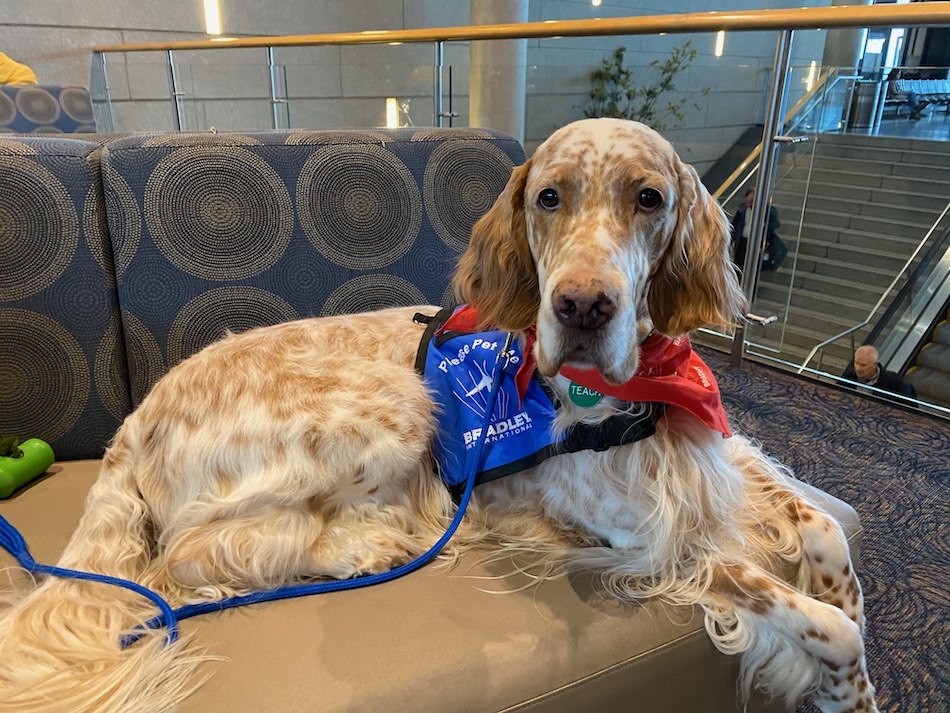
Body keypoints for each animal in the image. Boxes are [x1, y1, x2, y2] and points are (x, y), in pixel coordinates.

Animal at [0, 118, 876, 712]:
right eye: (549, 197)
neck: (640, 398)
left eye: (649, 198)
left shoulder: (721, 456)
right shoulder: (645, 539)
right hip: (397, 405)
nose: (582, 306)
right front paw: (843, 683)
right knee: (190, 554)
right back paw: (363, 546)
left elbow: (827, 535)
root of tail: (135, 417)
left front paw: (848, 626)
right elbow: (825, 624)